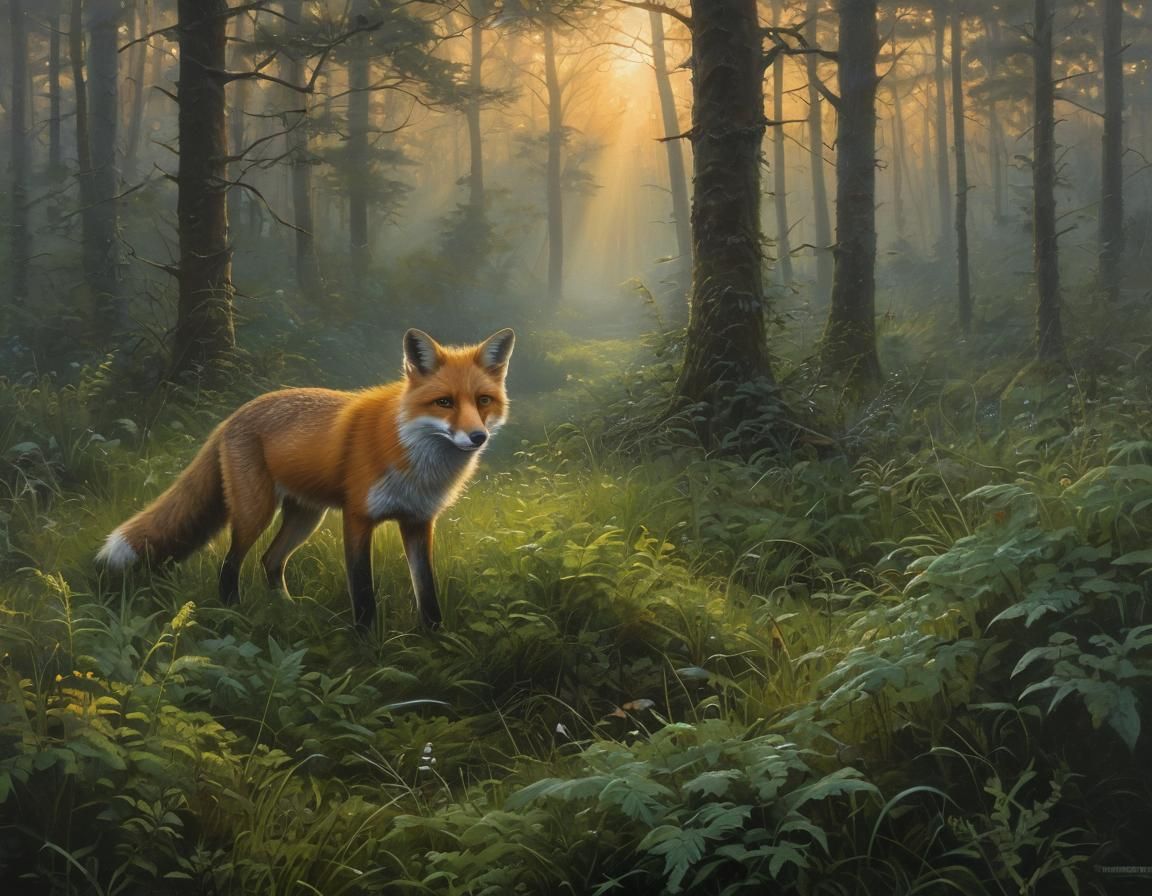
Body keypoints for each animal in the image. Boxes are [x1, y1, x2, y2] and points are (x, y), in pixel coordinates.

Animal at [97, 328, 515, 630]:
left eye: (483, 401)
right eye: (444, 402)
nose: (478, 437)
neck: (415, 456)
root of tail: (233, 415)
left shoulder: (418, 521)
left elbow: (426, 590)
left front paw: (434, 637)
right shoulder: (358, 518)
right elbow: (363, 591)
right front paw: (366, 643)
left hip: (305, 518)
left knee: (270, 560)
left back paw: (287, 608)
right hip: (256, 512)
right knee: (231, 563)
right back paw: (233, 611)